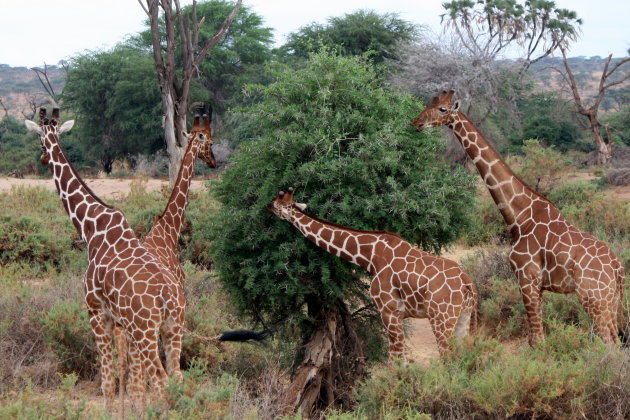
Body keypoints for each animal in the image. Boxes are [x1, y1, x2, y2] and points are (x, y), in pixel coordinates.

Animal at [25, 108, 188, 410]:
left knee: (160, 381)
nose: (42, 157)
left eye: (40, 140)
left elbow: (108, 383)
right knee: (177, 377)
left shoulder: (96, 312)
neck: (91, 227)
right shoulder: (119, 322)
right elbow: (128, 382)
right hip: (174, 327)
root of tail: (167, 297)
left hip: (145, 330)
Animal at [268, 187, 478, 358]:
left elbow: (396, 359)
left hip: (441, 319)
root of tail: (467, 283)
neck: (370, 256)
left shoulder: (389, 311)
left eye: (277, 204)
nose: (267, 207)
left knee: (447, 358)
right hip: (463, 317)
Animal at [410, 90, 628, 346]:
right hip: (609, 301)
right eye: (430, 103)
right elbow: (536, 337)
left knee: (609, 342)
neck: (519, 215)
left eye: (442, 109)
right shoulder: (537, 286)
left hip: (594, 298)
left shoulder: (527, 279)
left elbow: (537, 340)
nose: (417, 122)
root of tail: (618, 267)